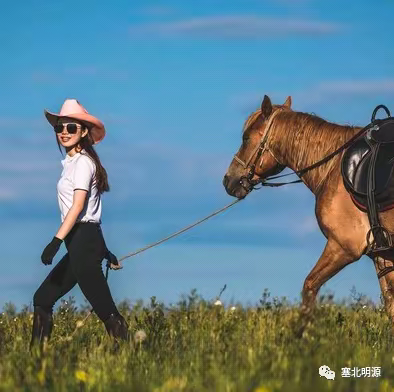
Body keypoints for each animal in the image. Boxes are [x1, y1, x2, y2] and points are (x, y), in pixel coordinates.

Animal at [223, 95, 392, 334]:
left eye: (246, 138)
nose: (228, 180)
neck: (334, 169)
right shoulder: (382, 254)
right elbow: (390, 305)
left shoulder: (343, 247)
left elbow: (309, 287)